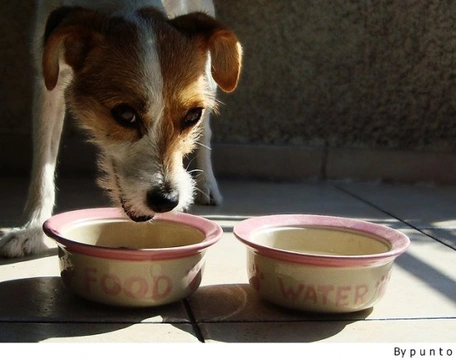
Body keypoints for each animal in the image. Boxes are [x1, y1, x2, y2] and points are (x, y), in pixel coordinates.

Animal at [0, 0, 242, 258]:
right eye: (125, 114)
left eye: (192, 115)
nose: (166, 200)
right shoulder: (48, 78)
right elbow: (43, 165)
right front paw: (31, 230)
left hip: (209, 75)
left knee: (207, 133)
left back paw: (208, 184)